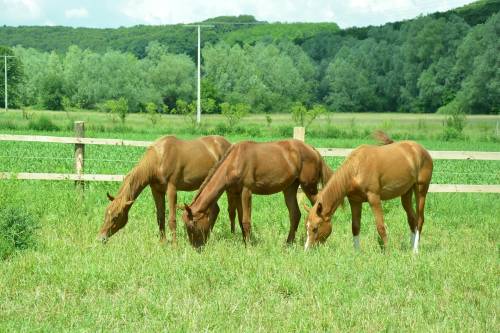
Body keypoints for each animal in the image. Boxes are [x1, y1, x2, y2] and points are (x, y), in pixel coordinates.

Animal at [97, 134, 238, 243]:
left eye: (116, 216)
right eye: (105, 213)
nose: (101, 238)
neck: (158, 159)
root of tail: (229, 144)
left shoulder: (172, 190)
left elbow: (172, 219)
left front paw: (175, 245)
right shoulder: (156, 191)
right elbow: (160, 217)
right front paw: (163, 242)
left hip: (228, 187)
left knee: (231, 211)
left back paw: (231, 235)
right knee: (215, 210)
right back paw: (207, 236)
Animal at [181, 139, 332, 248]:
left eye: (192, 225)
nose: (196, 247)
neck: (235, 161)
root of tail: (313, 150)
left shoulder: (246, 191)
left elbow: (246, 220)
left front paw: (248, 246)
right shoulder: (236, 193)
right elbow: (240, 219)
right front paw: (244, 242)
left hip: (309, 186)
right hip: (289, 188)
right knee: (295, 214)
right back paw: (288, 243)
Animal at [304, 131, 434, 253]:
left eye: (315, 228)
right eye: (306, 227)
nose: (307, 250)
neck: (357, 168)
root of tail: (422, 150)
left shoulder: (374, 198)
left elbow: (381, 226)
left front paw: (388, 252)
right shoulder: (355, 201)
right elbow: (355, 227)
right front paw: (357, 252)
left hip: (421, 190)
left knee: (420, 220)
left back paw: (416, 250)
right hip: (406, 193)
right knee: (412, 219)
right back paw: (411, 248)